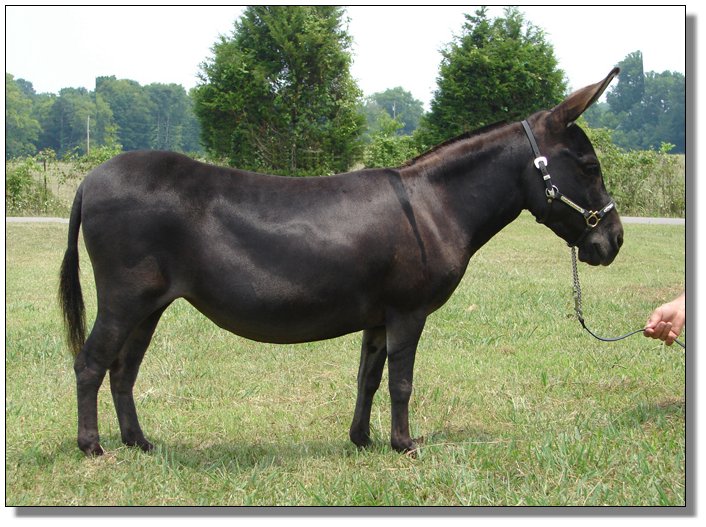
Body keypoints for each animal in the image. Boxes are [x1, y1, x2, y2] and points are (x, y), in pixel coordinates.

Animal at [59, 68, 623, 456]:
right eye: (589, 166)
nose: (615, 242)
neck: (436, 206)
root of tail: (89, 179)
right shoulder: (407, 312)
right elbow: (401, 381)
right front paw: (405, 445)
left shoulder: (378, 316)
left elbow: (368, 378)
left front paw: (362, 440)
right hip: (125, 298)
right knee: (90, 364)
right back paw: (93, 447)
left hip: (150, 305)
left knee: (122, 370)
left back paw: (140, 443)